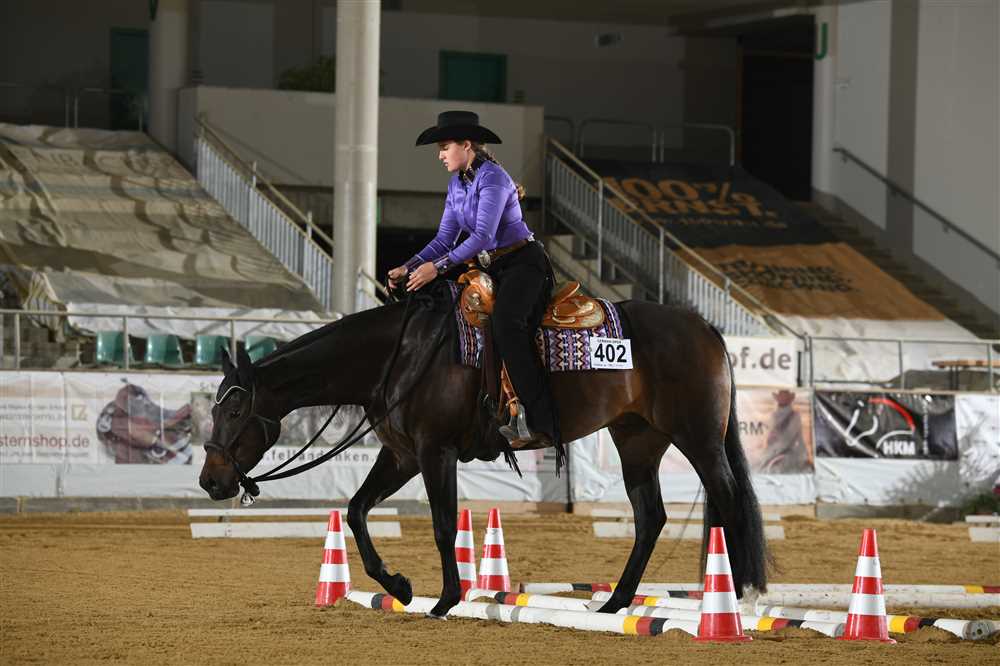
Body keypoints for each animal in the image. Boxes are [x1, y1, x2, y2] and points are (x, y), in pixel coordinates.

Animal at [198, 285, 770, 619]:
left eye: (235, 410)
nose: (210, 480)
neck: (402, 356)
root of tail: (706, 328)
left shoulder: (435, 452)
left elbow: (443, 525)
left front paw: (446, 599)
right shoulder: (402, 455)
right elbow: (358, 511)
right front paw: (400, 587)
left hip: (698, 437)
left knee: (727, 497)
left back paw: (738, 595)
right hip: (637, 440)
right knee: (651, 517)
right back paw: (616, 603)